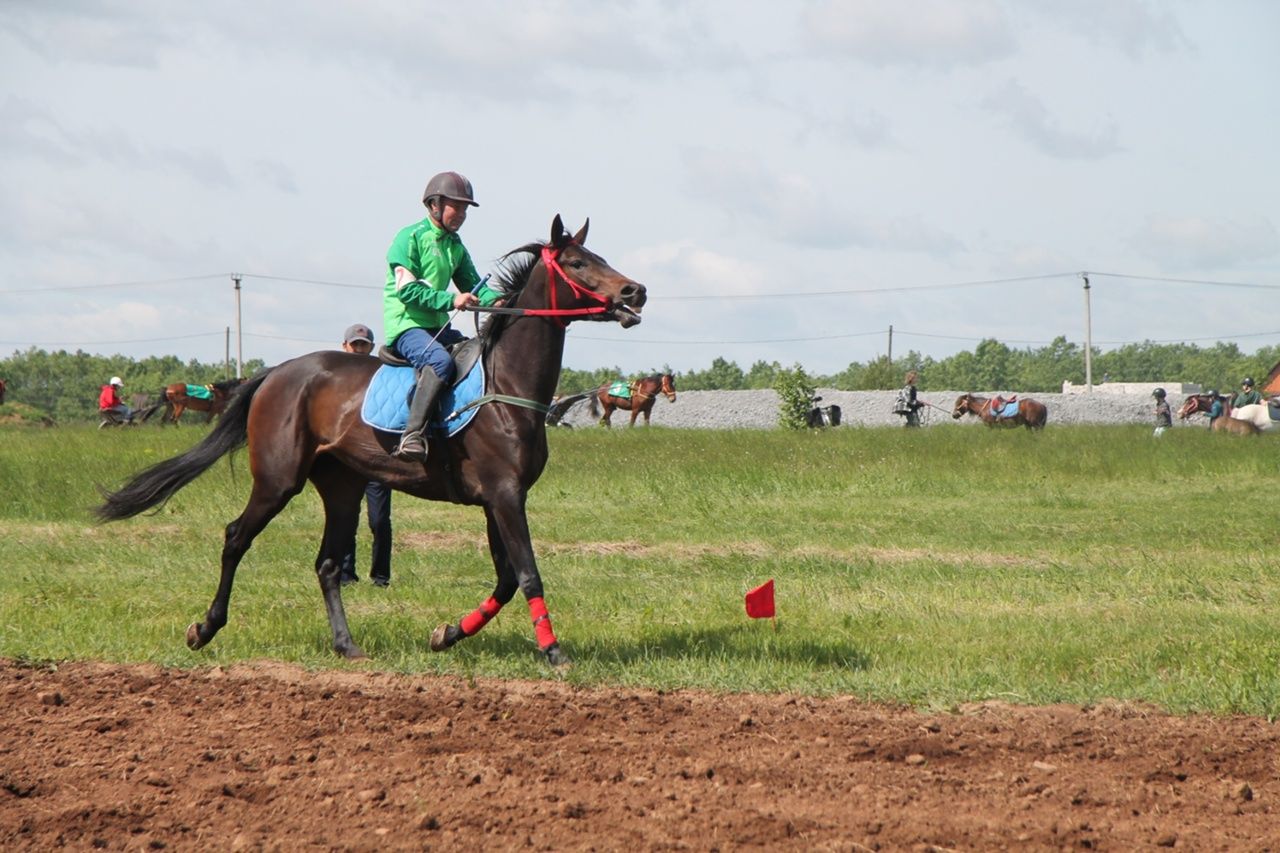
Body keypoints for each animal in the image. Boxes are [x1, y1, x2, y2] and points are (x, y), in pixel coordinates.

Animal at [94, 212, 645, 666]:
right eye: (577, 262)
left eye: (600, 257)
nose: (634, 292)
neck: (506, 387)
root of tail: (275, 374)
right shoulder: (505, 496)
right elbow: (528, 573)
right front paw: (553, 651)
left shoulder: (499, 499)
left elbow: (507, 580)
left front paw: (447, 634)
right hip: (278, 480)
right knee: (236, 537)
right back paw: (206, 628)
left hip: (343, 486)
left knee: (327, 565)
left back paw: (346, 644)